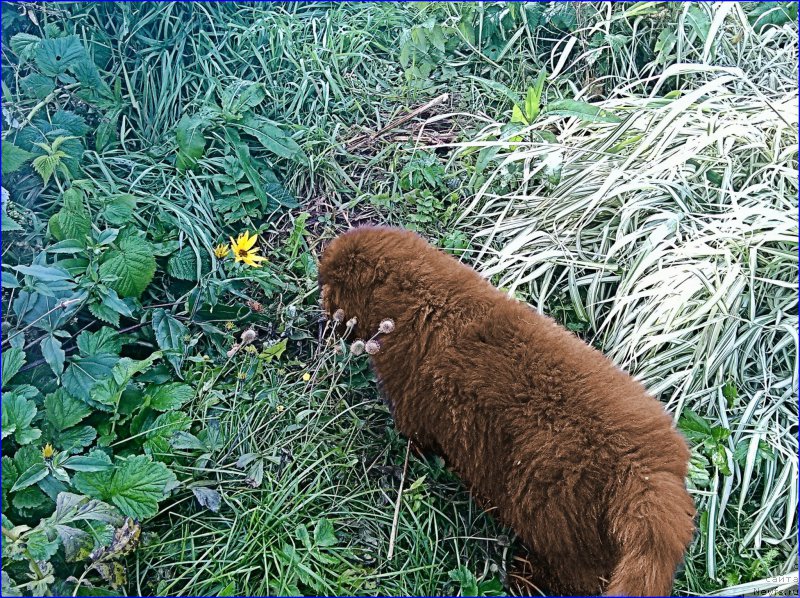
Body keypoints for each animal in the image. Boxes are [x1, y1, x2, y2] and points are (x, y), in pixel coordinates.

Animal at [318, 227, 692, 596]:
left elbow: (415, 439)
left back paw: (522, 578)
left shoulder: (414, 405)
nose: (323, 313)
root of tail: (648, 473)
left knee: (575, 577)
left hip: (556, 529)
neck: (432, 304)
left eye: (327, 285)